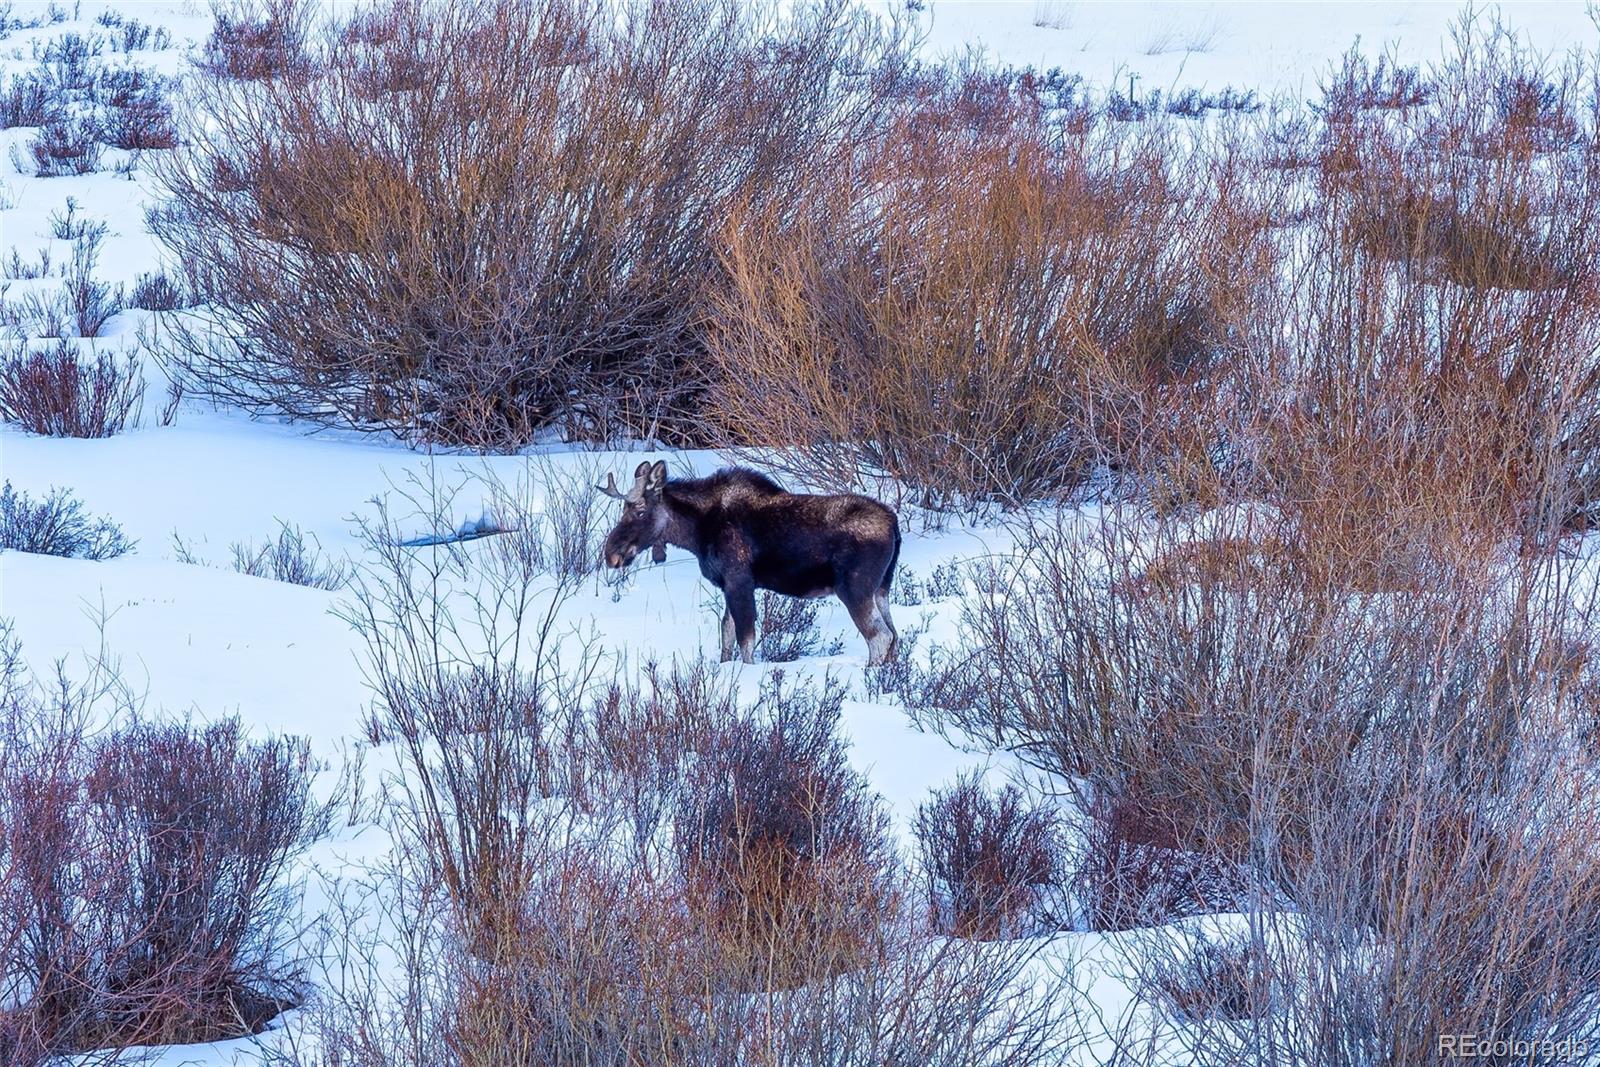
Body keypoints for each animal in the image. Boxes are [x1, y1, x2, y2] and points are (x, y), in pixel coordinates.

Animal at [601, 460, 902, 662]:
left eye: (640, 510)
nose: (611, 554)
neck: (696, 532)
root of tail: (894, 524)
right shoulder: (728, 585)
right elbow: (726, 634)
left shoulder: (739, 581)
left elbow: (746, 641)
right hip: (881, 589)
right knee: (894, 635)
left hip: (854, 588)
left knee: (880, 637)